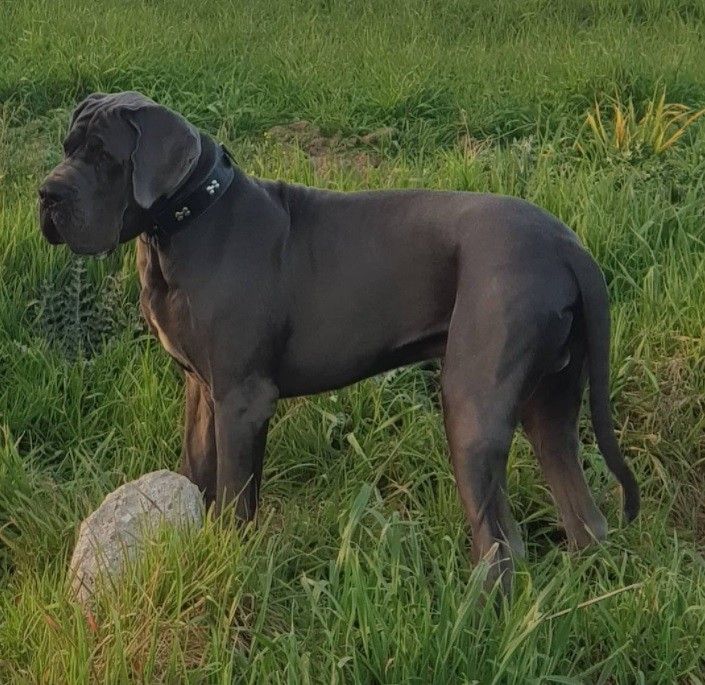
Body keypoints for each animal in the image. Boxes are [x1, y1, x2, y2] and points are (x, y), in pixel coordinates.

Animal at [39, 91, 639, 588]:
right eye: (69, 146)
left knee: (501, 541)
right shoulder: (202, 391)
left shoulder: (242, 400)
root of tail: (568, 247)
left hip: (473, 405)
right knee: (584, 518)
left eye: (105, 155)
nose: (46, 193)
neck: (186, 221)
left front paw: (230, 562)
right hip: (549, 404)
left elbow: (234, 498)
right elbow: (196, 472)